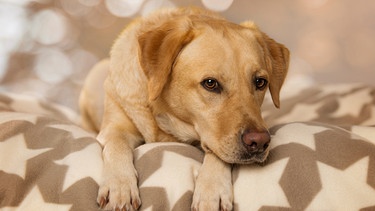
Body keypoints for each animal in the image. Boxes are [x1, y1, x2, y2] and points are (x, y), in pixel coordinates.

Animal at [79, 6, 290, 211]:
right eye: (210, 83)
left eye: (260, 82)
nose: (259, 142)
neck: (166, 119)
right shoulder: (115, 127)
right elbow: (117, 145)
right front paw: (119, 186)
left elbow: (217, 155)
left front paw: (212, 190)